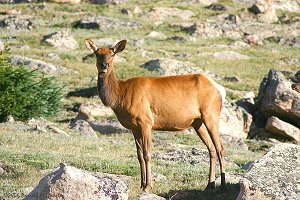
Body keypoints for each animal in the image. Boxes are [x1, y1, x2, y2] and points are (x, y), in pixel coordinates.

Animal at [84, 38, 227, 193]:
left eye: (112, 54)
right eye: (97, 53)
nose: (104, 65)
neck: (119, 96)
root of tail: (219, 91)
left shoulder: (146, 121)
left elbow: (147, 153)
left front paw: (148, 186)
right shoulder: (134, 127)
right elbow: (139, 155)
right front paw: (141, 184)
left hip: (211, 114)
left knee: (220, 148)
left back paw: (223, 185)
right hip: (197, 122)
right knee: (211, 148)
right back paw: (209, 185)